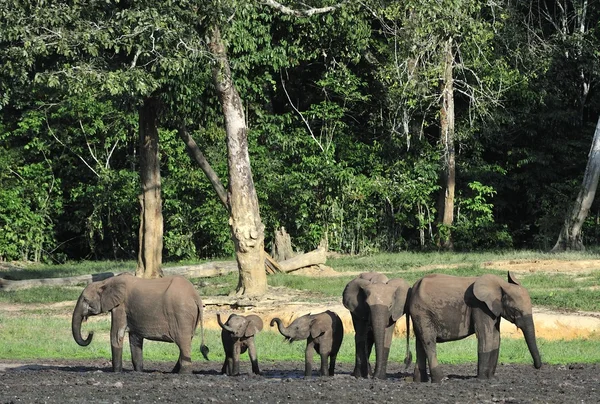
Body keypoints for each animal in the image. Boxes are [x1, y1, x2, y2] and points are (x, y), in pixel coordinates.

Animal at [71, 274, 209, 374]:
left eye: (85, 300)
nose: (91, 332)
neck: (105, 282)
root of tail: (196, 296)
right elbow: (134, 339)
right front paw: (138, 371)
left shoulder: (120, 306)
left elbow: (116, 335)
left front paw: (116, 372)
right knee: (186, 341)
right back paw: (174, 372)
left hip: (182, 315)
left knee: (183, 343)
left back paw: (183, 374)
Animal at [408, 272, 544, 382]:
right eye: (515, 311)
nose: (536, 367)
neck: (501, 285)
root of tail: (413, 287)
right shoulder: (480, 306)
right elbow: (486, 336)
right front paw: (482, 379)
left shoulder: (493, 309)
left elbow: (495, 337)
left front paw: (491, 378)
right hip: (422, 312)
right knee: (429, 341)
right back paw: (441, 380)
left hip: (419, 314)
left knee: (420, 343)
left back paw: (420, 381)